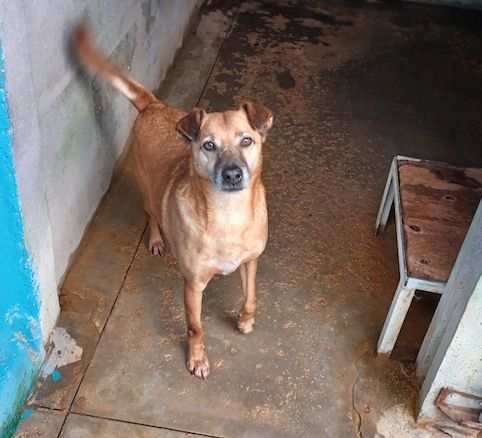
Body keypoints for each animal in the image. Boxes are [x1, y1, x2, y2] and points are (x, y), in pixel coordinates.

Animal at [73, 25, 274, 378]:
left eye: (247, 141)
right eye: (209, 145)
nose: (233, 174)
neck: (228, 217)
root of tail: (154, 106)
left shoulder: (251, 261)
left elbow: (251, 296)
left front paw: (245, 321)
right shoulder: (192, 285)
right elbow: (195, 327)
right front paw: (197, 359)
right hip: (148, 189)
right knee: (150, 213)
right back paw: (155, 239)